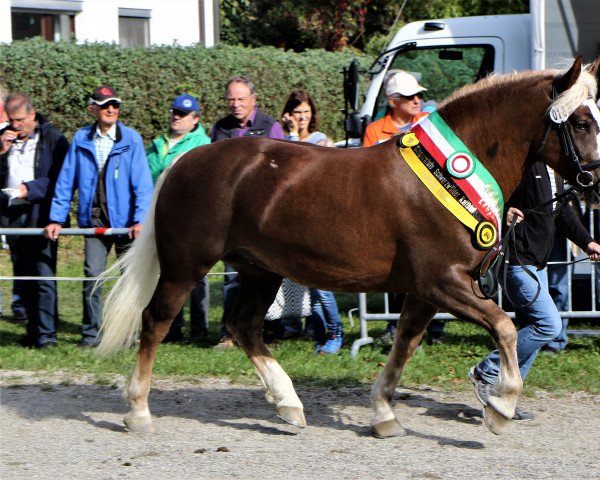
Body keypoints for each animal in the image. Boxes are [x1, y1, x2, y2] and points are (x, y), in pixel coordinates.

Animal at [96, 56, 596, 438]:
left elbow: (404, 345)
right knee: (155, 322)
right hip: (186, 265)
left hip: (260, 270)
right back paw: (138, 411)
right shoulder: (443, 282)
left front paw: (384, 414)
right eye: (580, 121)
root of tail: (185, 159)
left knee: (244, 327)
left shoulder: (424, 292)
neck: (447, 173)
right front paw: (501, 407)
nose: (593, 180)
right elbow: (505, 328)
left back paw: (288, 404)